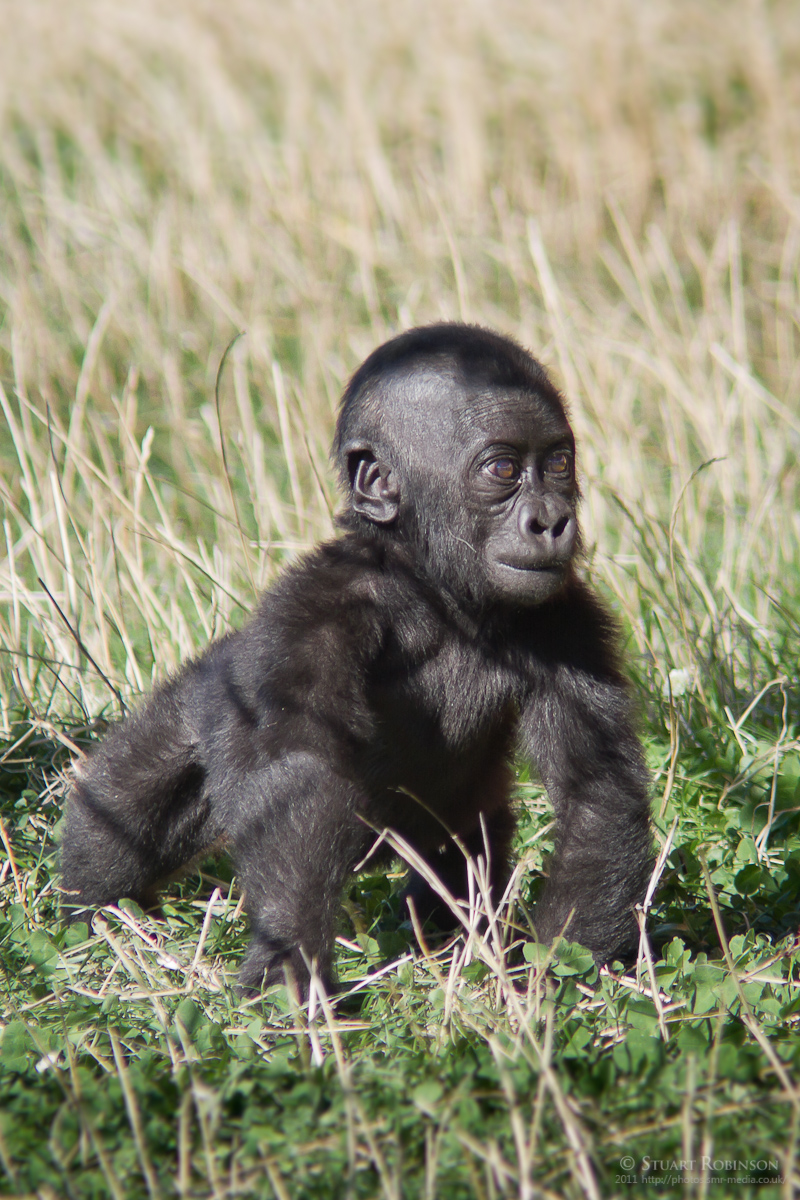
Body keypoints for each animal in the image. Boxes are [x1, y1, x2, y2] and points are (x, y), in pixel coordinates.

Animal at [60, 323, 653, 997]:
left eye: (557, 464)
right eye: (503, 469)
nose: (551, 520)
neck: (432, 589)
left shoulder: (566, 619)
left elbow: (594, 791)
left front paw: (556, 980)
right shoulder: (317, 611)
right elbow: (299, 775)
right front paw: (290, 965)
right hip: (205, 697)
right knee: (127, 803)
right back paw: (93, 916)